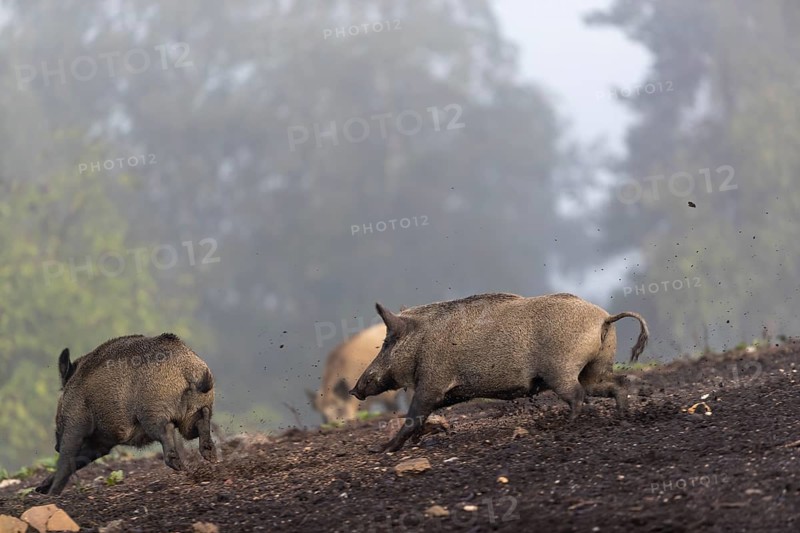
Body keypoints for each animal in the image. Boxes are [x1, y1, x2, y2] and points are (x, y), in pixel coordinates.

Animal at [35, 333, 217, 495]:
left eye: (59, 405)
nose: (55, 447)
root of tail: (193, 368)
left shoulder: (75, 425)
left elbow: (66, 459)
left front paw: (51, 495)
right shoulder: (103, 443)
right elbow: (80, 459)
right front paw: (41, 489)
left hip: (151, 411)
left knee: (166, 429)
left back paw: (178, 464)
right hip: (193, 414)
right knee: (201, 419)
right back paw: (211, 455)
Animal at [350, 293, 648, 452]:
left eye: (388, 342)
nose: (354, 389)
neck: (422, 342)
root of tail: (604, 317)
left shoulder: (432, 383)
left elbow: (413, 416)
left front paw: (380, 450)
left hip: (561, 371)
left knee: (577, 396)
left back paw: (565, 426)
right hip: (595, 368)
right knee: (615, 384)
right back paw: (622, 417)